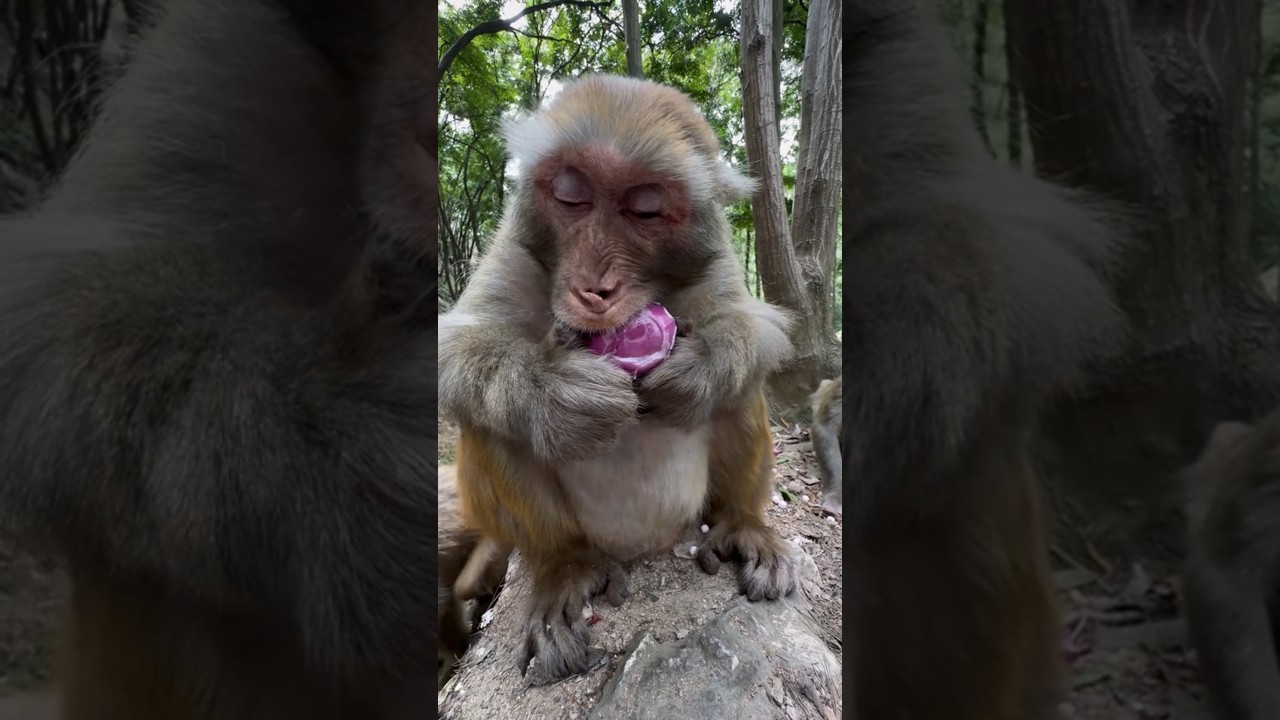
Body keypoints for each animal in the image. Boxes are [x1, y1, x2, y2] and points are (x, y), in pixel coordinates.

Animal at [437, 74, 798, 686]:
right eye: (571, 197)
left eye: (644, 210)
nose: (595, 288)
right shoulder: (513, 247)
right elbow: (456, 348)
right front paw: (557, 398)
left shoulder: (715, 256)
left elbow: (753, 323)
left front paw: (695, 372)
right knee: (488, 423)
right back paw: (565, 570)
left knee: (741, 393)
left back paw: (743, 525)